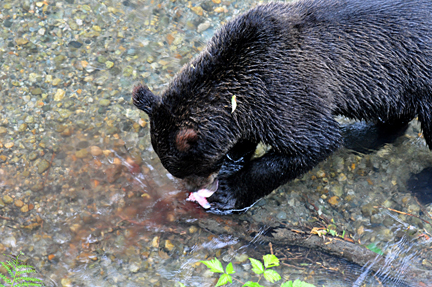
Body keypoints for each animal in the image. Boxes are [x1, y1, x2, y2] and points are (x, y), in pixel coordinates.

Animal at [133, 0, 432, 214]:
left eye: (190, 168)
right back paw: (364, 137)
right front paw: (234, 161)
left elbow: (313, 143)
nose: (196, 187)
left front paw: (227, 194)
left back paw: (420, 185)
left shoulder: (284, 91)